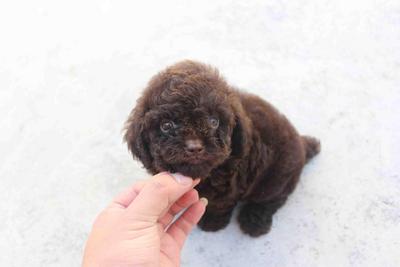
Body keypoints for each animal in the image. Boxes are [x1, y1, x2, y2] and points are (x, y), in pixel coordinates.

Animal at [123, 60, 320, 237]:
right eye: (166, 125)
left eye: (213, 122)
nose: (194, 147)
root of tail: (301, 143)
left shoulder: (229, 187)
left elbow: (220, 204)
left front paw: (212, 222)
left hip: (277, 177)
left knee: (272, 198)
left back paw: (254, 220)